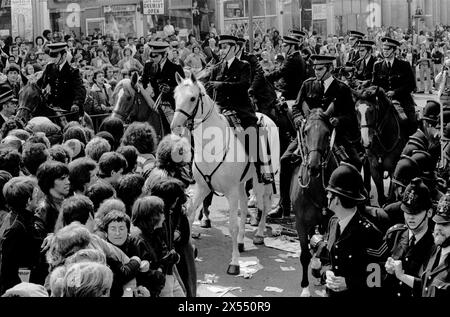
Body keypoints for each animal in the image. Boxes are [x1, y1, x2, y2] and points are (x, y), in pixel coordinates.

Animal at [171, 71, 280, 274]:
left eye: (192, 98)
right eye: (175, 96)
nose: (175, 126)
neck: (213, 145)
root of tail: (265, 116)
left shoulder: (230, 191)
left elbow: (232, 226)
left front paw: (234, 263)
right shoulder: (203, 187)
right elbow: (190, 215)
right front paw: (192, 249)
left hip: (263, 180)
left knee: (265, 204)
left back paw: (259, 234)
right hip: (242, 184)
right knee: (245, 206)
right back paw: (242, 242)